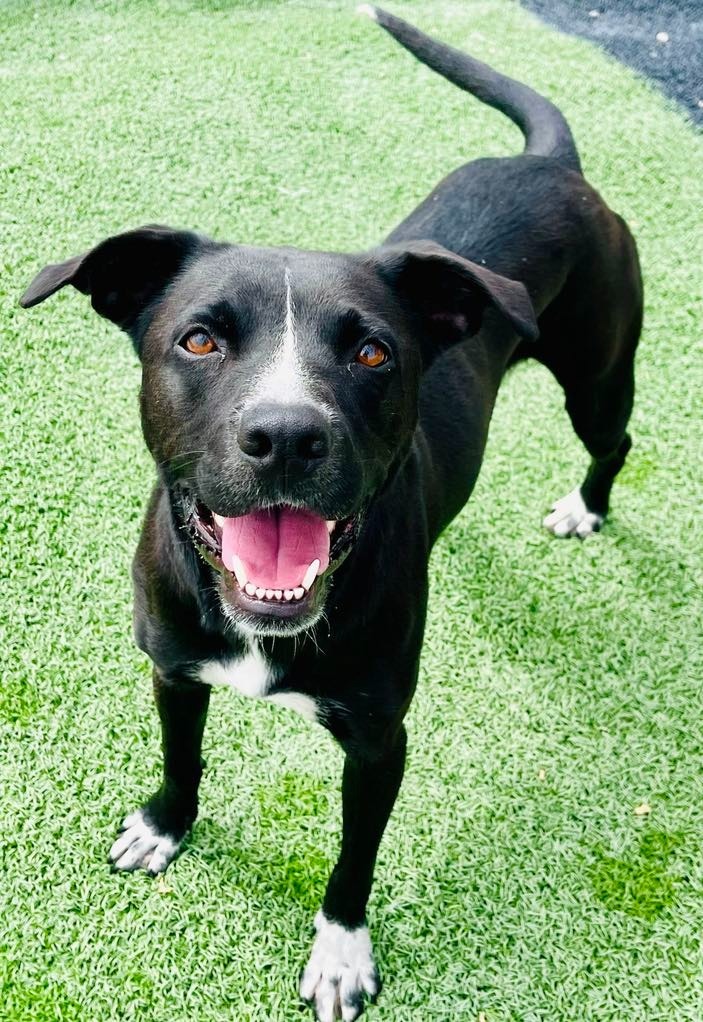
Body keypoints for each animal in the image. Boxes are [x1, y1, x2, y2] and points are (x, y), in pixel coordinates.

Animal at [21, 7, 641, 1021]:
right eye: (199, 338)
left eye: (373, 353)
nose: (284, 435)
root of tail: (550, 164)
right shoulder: (172, 672)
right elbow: (182, 757)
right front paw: (165, 826)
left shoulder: (380, 742)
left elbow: (354, 861)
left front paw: (342, 953)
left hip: (596, 371)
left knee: (613, 440)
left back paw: (586, 507)